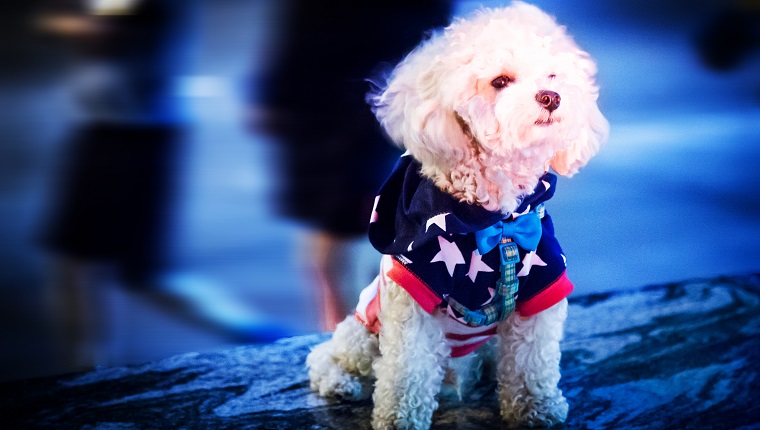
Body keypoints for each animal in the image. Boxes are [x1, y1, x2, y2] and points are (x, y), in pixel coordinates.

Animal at [306, 2, 608, 426]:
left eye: (552, 75)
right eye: (500, 81)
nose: (552, 96)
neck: (497, 224)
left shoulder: (542, 282)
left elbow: (532, 363)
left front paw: (536, 408)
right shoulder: (414, 294)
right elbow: (407, 373)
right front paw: (399, 419)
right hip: (364, 330)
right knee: (328, 356)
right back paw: (339, 382)